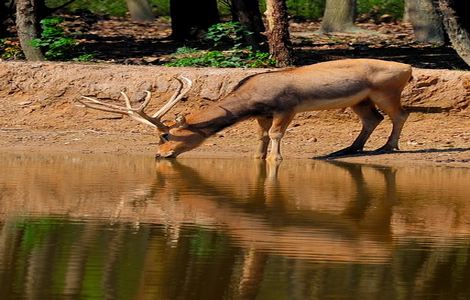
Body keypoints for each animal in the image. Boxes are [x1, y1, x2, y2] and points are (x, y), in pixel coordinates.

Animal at [79, 59, 414, 162]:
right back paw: (346, 149)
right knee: (373, 118)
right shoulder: (261, 115)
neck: (252, 100)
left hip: (387, 90)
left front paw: (276, 160)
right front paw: (258, 158)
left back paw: (388, 147)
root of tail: (408, 68)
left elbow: (277, 135)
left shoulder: (287, 107)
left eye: (165, 136)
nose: (160, 156)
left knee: (400, 114)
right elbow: (262, 137)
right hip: (361, 100)